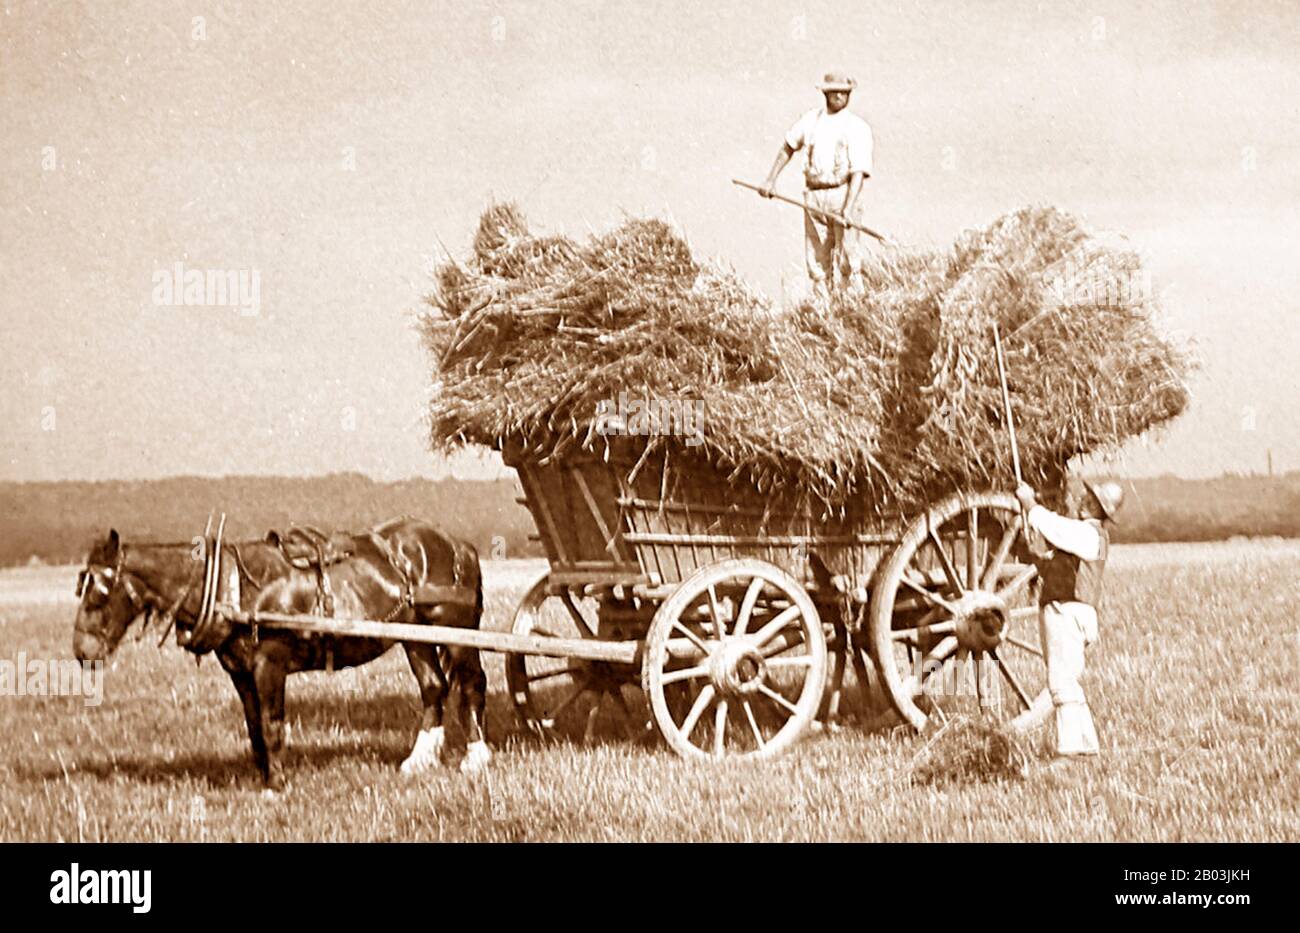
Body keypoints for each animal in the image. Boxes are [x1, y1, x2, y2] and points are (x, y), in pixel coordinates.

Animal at [72, 519, 488, 795]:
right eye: (82, 585)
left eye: (100, 591)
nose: (81, 651)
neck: (231, 588)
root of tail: (460, 545)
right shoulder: (240, 672)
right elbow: (254, 728)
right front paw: (263, 777)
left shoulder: (269, 665)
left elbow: (272, 725)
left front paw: (277, 784)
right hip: (415, 636)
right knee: (433, 687)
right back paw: (420, 759)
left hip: (454, 630)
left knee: (471, 684)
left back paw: (476, 756)